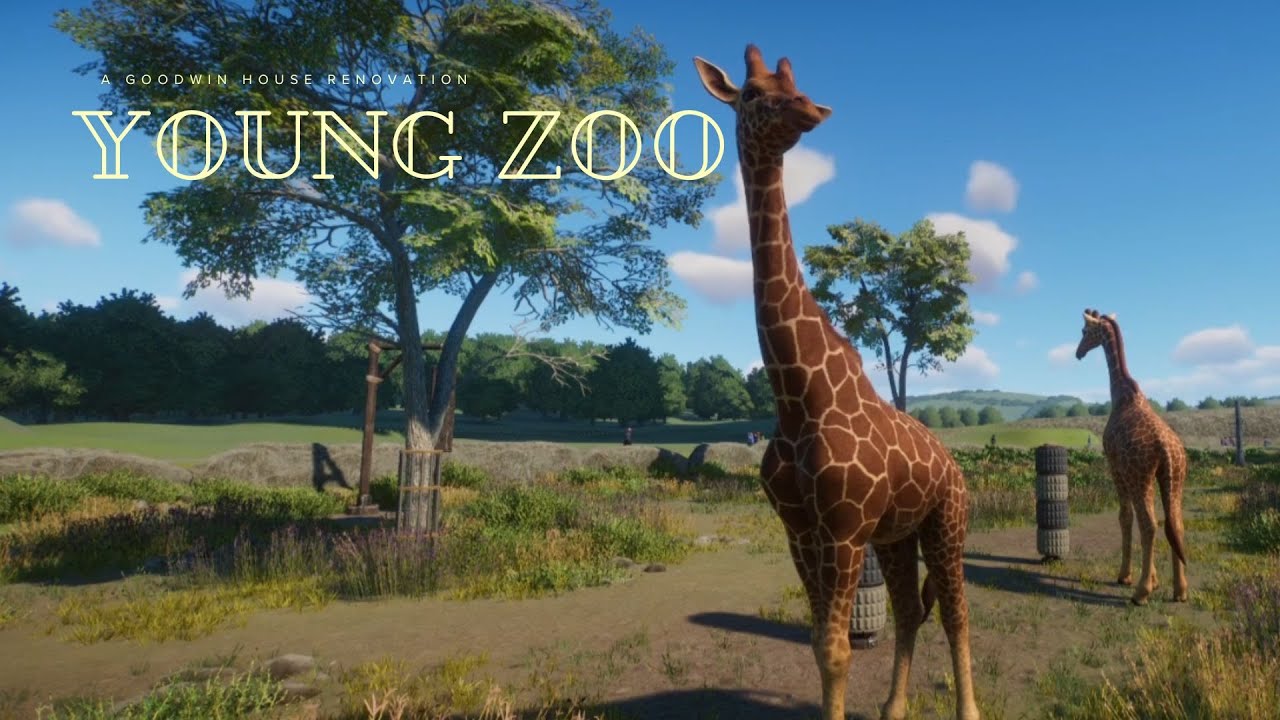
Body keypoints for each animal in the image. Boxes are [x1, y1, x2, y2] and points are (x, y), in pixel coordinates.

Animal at [695, 46, 980, 720]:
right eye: (751, 92)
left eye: (793, 84)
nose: (810, 109)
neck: (797, 397)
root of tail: (954, 466)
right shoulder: (801, 530)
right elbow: (820, 644)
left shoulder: (845, 530)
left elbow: (838, 648)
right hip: (899, 536)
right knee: (910, 610)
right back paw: (894, 708)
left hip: (947, 524)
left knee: (956, 615)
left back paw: (970, 710)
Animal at [1075, 309, 1189, 605]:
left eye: (1084, 331)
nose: (1078, 353)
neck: (1122, 393)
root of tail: (1166, 448)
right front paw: (1155, 579)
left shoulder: (1115, 467)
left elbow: (1125, 517)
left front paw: (1127, 576)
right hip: (1173, 479)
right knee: (1175, 524)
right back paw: (1180, 590)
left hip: (1141, 477)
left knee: (1150, 525)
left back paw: (1140, 593)